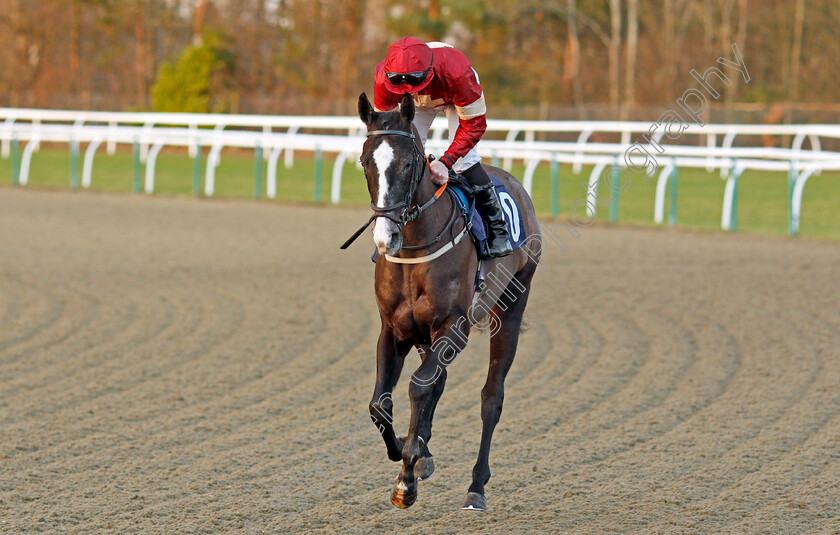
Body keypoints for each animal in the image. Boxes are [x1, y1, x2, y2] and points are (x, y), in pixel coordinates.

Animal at [352, 92, 540, 510]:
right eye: (365, 161)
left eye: (408, 163)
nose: (386, 238)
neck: (414, 250)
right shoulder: (395, 329)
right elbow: (380, 404)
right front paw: (411, 449)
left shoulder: (453, 326)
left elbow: (419, 388)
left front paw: (406, 477)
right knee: (436, 381)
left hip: (514, 303)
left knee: (491, 397)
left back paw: (476, 487)